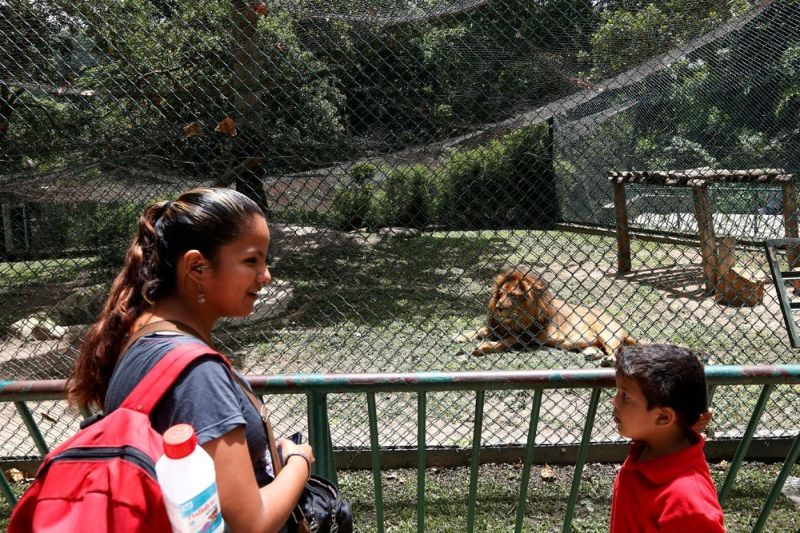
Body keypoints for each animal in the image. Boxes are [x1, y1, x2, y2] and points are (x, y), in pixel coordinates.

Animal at [456, 266, 636, 362]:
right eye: (500, 294)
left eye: (513, 296)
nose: (499, 307)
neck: (513, 320)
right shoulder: (496, 326)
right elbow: (480, 329)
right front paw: (460, 335)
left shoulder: (525, 337)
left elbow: (504, 342)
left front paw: (483, 347)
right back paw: (592, 354)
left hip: (607, 334)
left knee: (616, 350)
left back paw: (609, 360)